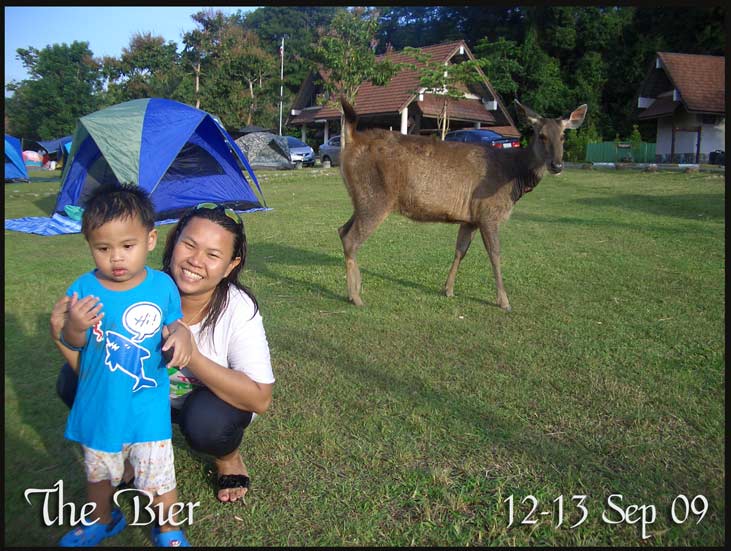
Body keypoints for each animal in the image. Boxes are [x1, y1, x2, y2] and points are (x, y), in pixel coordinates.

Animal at [337, 96, 587, 311]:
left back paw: (354, 289)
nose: (557, 165)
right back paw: (356, 296)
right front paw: (504, 301)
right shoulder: (488, 212)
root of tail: (352, 138)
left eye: (563, 136)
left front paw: (448, 289)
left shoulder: (470, 218)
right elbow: (495, 254)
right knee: (351, 239)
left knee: (342, 230)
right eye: (541, 135)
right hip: (376, 197)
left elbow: (460, 250)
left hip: (361, 199)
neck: (514, 177)